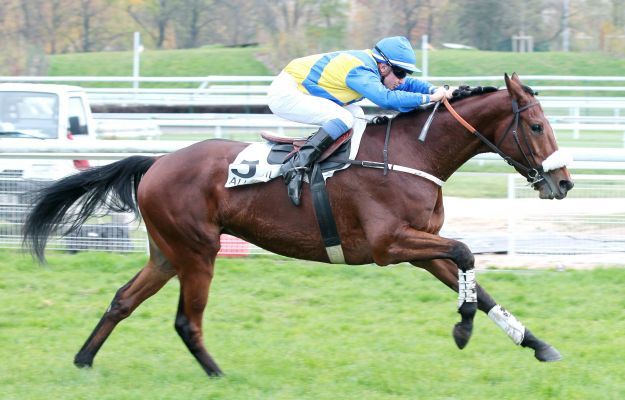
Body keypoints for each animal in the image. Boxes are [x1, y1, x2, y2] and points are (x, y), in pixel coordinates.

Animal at [23, 73, 572, 376]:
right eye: (537, 125)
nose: (563, 182)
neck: (411, 154)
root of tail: (157, 162)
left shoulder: (421, 245)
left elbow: (475, 281)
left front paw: (538, 345)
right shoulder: (389, 245)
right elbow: (465, 253)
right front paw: (461, 329)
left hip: (167, 252)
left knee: (122, 300)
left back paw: (84, 360)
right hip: (197, 251)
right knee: (186, 320)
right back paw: (219, 375)